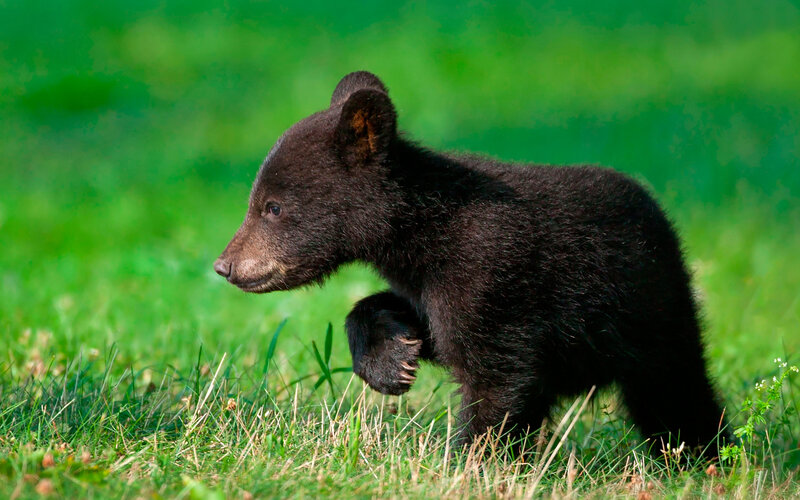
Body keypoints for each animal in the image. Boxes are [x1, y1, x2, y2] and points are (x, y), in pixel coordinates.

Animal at [214, 71, 727, 456]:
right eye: (259, 201)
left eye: (272, 207)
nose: (225, 265)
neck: (424, 231)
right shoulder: (432, 281)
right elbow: (427, 327)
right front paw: (391, 359)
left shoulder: (491, 273)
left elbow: (496, 375)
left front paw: (470, 461)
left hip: (652, 312)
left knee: (675, 393)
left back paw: (704, 457)